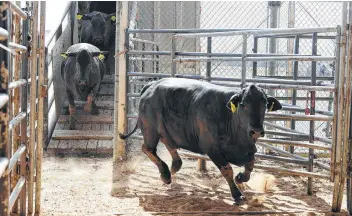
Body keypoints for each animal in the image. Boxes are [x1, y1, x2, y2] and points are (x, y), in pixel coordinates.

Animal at [119, 77, 282, 204]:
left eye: (265, 104)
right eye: (243, 104)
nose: (256, 130)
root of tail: (152, 85)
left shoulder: (249, 150)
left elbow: (250, 166)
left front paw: (240, 177)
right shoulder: (212, 148)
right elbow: (227, 170)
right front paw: (237, 195)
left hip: (166, 131)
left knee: (169, 145)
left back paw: (174, 167)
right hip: (150, 130)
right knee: (148, 149)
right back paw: (165, 174)